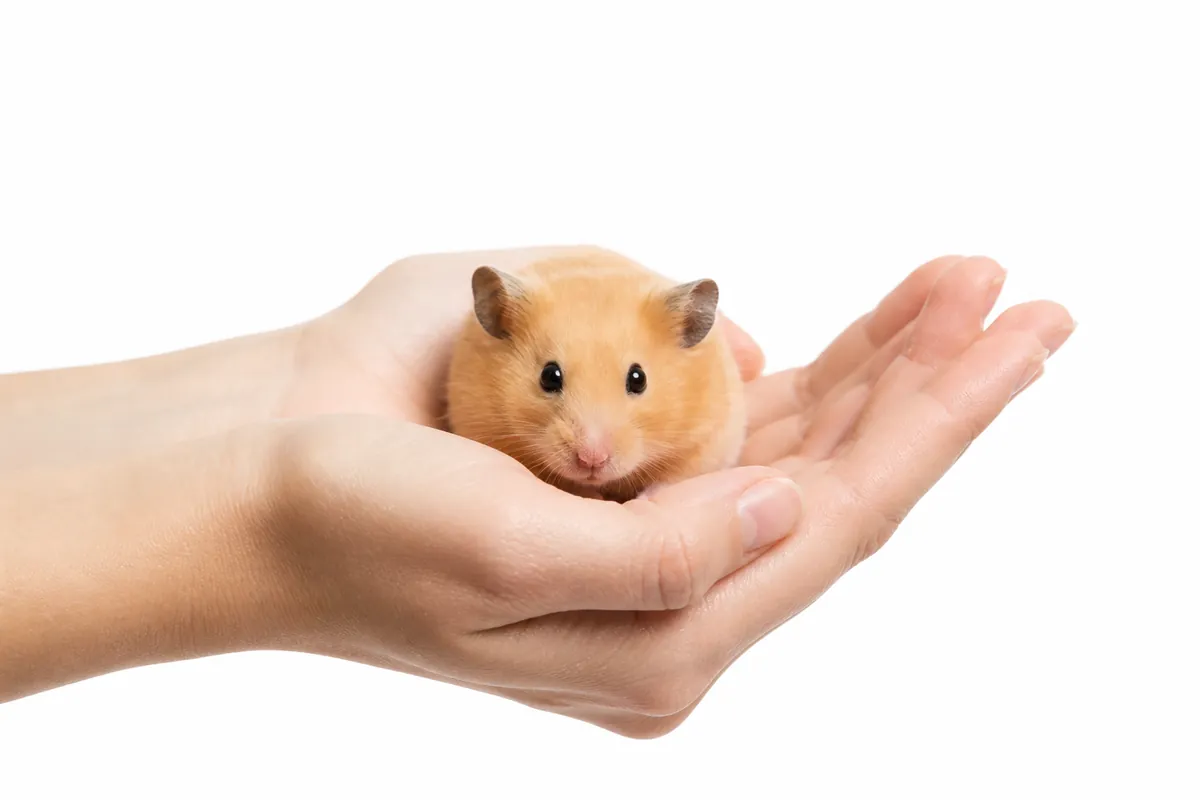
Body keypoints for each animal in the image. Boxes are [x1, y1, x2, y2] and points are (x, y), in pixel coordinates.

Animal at [445, 250, 746, 503]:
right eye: (549, 376)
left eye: (638, 378)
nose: (592, 460)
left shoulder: (709, 439)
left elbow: (672, 478)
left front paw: (644, 497)